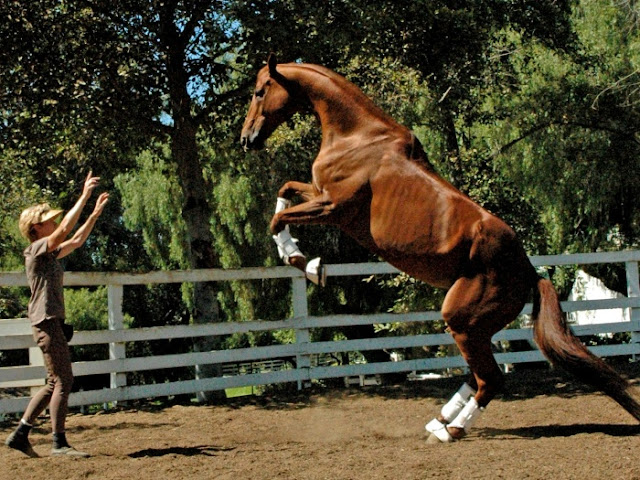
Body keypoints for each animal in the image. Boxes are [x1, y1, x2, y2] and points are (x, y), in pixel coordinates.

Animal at [240, 54, 640, 440]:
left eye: (260, 91)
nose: (247, 139)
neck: (358, 138)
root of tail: (528, 271)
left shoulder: (333, 207)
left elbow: (279, 219)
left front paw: (306, 263)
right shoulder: (318, 194)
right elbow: (284, 191)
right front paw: (303, 257)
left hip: (462, 321)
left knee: (490, 380)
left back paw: (451, 431)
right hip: (474, 328)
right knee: (476, 377)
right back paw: (438, 422)